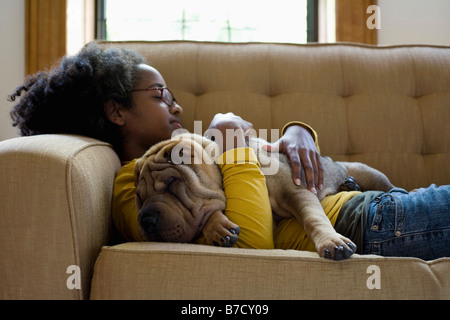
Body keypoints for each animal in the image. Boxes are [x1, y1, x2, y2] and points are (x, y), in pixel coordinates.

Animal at [134, 132, 394, 260]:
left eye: (171, 183)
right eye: (140, 198)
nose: (145, 220)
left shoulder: (297, 191)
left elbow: (314, 218)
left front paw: (332, 241)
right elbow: (208, 211)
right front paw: (217, 227)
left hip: (367, 170)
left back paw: (352, 184)